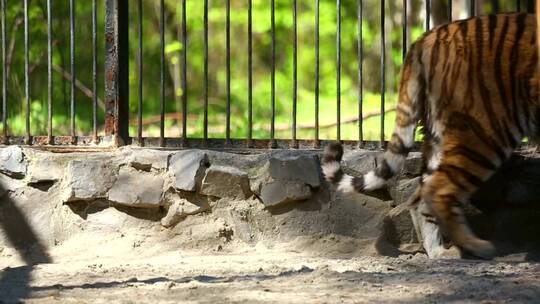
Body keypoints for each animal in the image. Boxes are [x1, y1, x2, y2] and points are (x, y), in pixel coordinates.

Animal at [322, 12, 536, 258]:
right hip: (486, 129)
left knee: (422, 195)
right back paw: (477, 247)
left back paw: (440, 252)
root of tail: (427, 36)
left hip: (438, 134)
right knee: (439, 191)